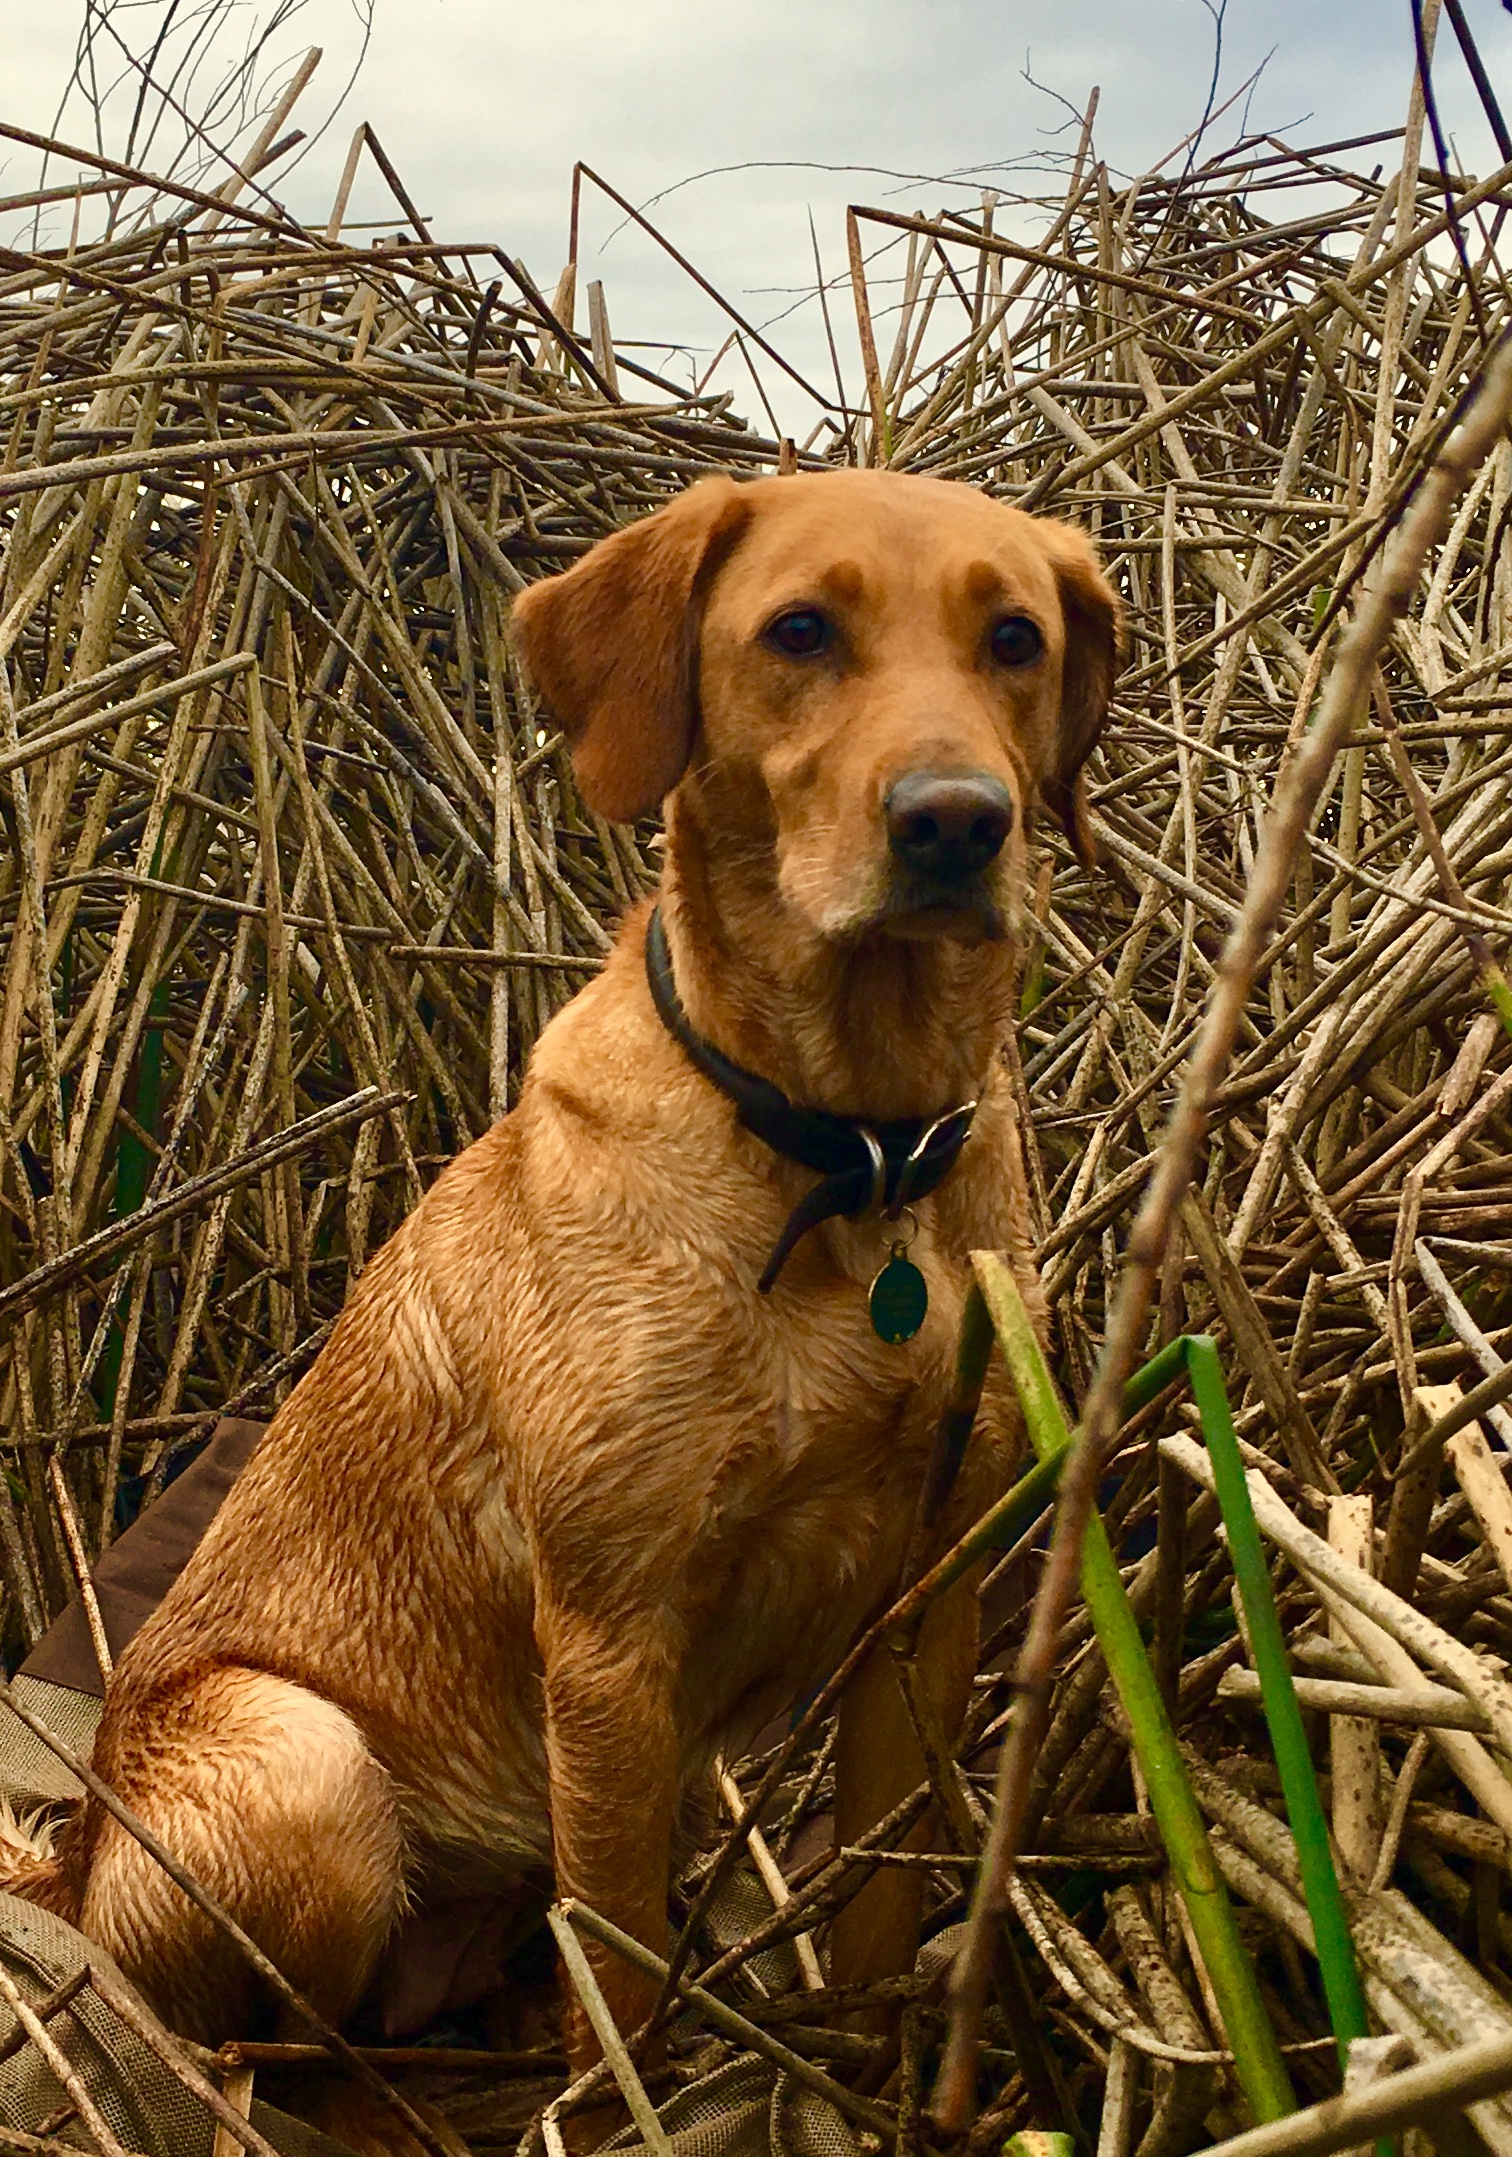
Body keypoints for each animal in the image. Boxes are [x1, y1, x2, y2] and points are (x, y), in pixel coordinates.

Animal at [17, 468, 1112, 2122]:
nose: (954, 823)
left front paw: (866, 2066)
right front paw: (632, 2108)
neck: (847, 1154)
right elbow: (627, 1942)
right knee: (279, 2050)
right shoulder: (607, 1639)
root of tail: (72, 1862)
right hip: (302, 1759)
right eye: (800, 630)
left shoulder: (927, 1599)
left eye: (1015, 639)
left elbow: (874, 1896)